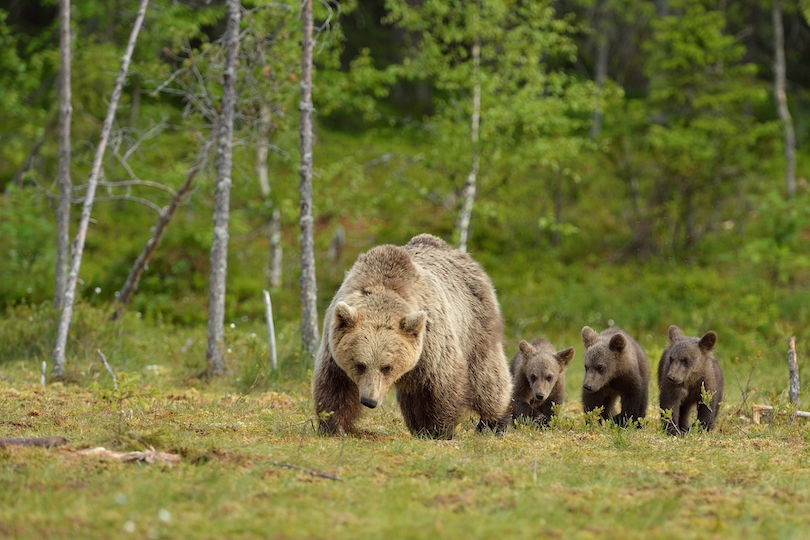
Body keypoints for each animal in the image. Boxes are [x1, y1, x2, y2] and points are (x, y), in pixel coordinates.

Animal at [310, 234, 508, 436]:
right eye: (360, 365)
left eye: (386, 367)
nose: (369, 401)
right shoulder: (333, 349)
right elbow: (334, 386)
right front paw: (334, 426)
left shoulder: (431, 343)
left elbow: (442, 384)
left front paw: (439, 430)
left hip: (475, 324)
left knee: (486, 376)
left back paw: (494, 422)